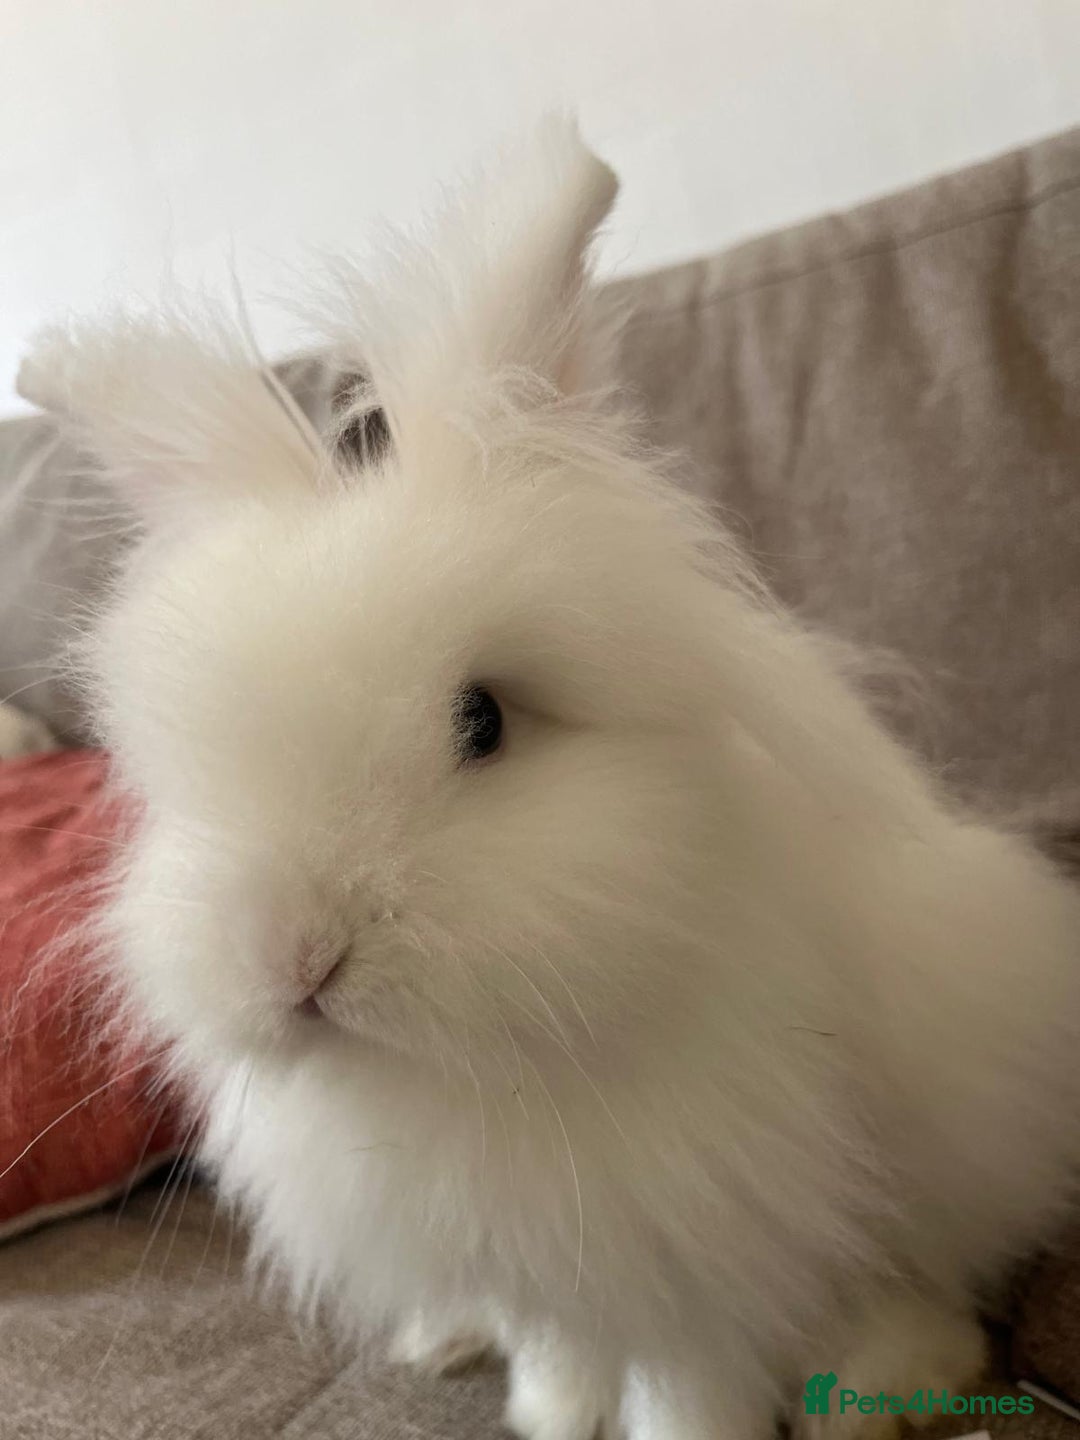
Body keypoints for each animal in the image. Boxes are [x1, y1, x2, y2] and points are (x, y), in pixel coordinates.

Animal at [34, 119, 1080, 1440]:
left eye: (482, 720)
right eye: (188, 764)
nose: (294, 960)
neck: (475, 1075)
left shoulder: (699, 1220)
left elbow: (692, 1371)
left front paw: (686, 1432)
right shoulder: (538, 1249)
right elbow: (560, 1340)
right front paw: (549, 1410)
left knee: (918, 1267)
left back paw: (888, 1385)